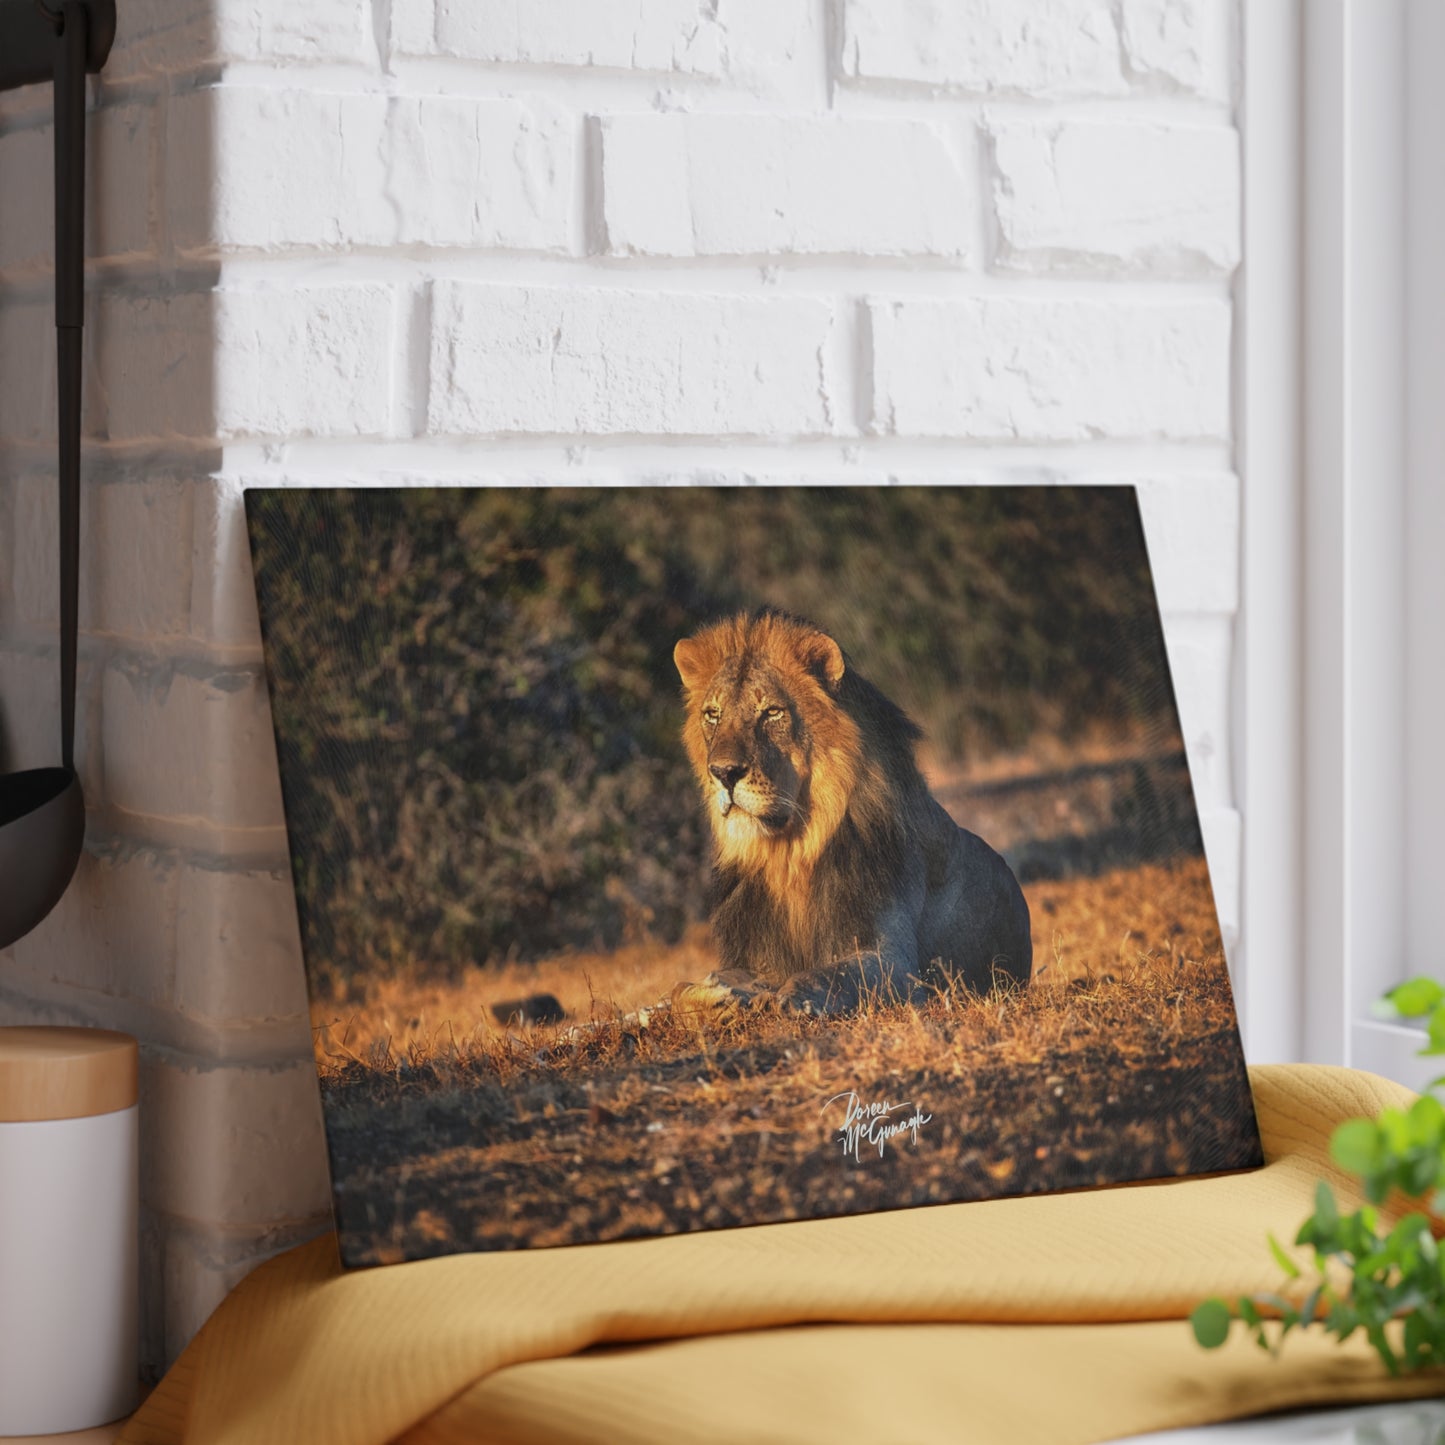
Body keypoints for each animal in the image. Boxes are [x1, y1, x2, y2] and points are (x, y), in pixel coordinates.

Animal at [671, 609, 1032, 1017]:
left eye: (772, 713)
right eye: (712, 715)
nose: (723, 772)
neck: (789, 854)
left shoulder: (896, 963)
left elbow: (827, 975)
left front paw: (791, 998)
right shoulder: (755, 956)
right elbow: (680, 988)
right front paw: (715, 994)